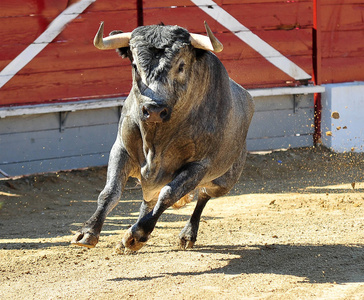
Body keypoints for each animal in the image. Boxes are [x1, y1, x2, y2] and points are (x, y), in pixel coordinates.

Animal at [70, 21, 253, 251]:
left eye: (181, 65)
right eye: (135, 65)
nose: (154, 109)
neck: (155, 139)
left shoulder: (199, 166)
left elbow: (168, 195)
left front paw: (137, 234)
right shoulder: (121, 149)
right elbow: (110, 191)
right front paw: (87, 232)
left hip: (223, 181)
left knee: (202, 195)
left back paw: (185, 235)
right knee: (148, 201)